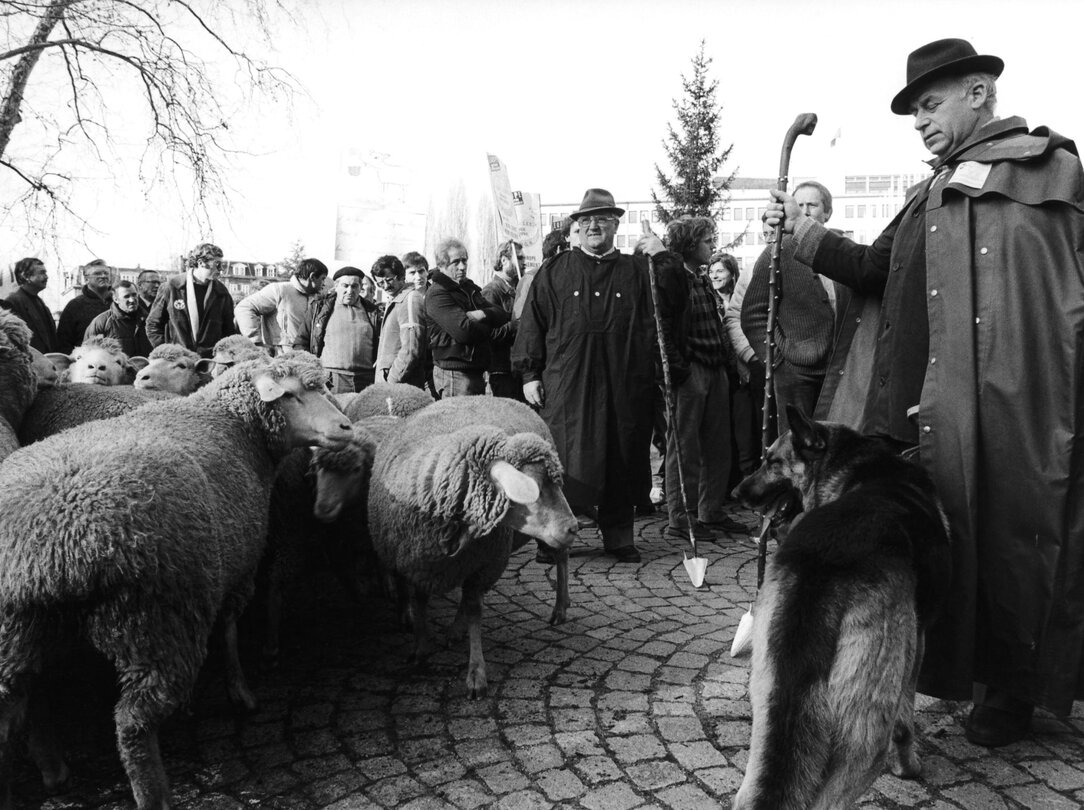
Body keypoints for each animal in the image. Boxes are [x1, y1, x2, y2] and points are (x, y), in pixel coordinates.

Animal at [0, 351, 351, 806]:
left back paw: (45, 772)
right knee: (132, 725)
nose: (346, 428)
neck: (231, 422)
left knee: (15, 711)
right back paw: (156, 795)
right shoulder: (235, 569)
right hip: (154, 623)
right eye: (291, 394)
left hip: (20, 634)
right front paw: (241, 692)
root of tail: (50, 553)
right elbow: (229, 632)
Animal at [368, 396, 581, 698]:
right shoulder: (419, 564)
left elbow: (474, 610)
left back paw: (560, 608)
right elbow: (420, 602)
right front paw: (420, 648)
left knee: (561, 556)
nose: (573, 527)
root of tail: (511, 399)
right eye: (533, 487)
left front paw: (476, 674)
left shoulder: (482, 565)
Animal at [728, 412, 949, 810]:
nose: (737, 494)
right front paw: (909, 769)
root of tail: (825, 563)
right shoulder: (918, 646)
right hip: (864, 736)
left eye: (772, 461)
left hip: (769, 706)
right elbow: (904, 725)